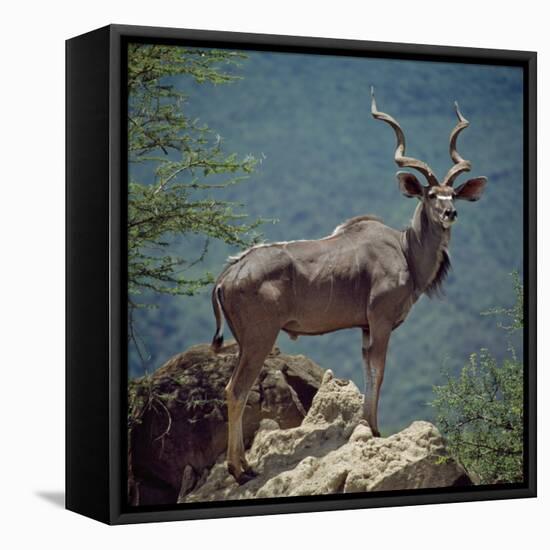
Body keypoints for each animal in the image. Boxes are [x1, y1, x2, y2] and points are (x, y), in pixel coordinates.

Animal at [213, 90, 490, 484]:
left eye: (452, 193)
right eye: (430, 195)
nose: (451, 213)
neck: (405, 249)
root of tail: (228, 275)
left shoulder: (365, 327)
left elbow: (368, 371)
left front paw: (367, 426)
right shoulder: (381, 321)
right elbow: (380, 371)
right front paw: (373, 430)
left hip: (244, 342)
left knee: (232, 388)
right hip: (259, 339)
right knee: (236, 390)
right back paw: (241, 469)